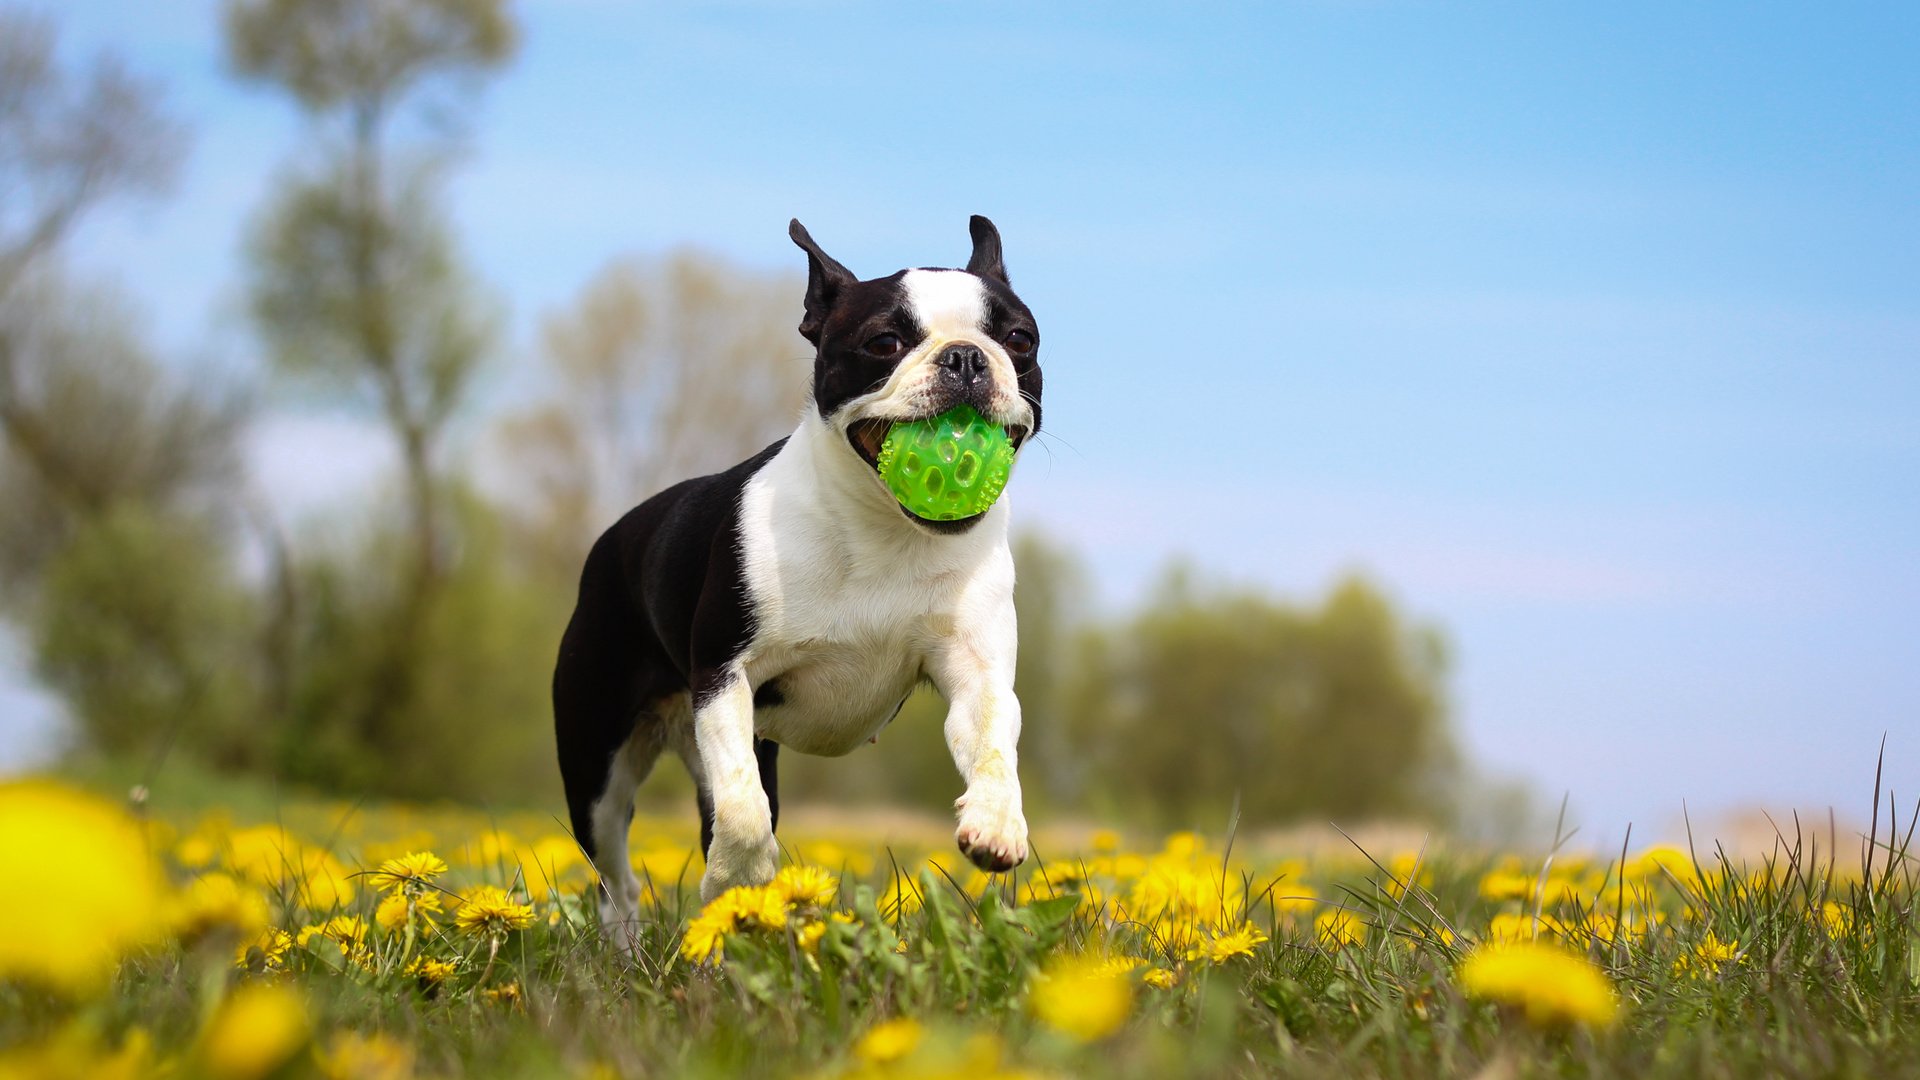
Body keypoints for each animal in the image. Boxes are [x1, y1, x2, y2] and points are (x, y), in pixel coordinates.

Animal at [549, 214, 1044, 930]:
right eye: (884, 342)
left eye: (1019, 339)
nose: (966, 356)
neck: (884, 530)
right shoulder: (725, 677)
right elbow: (745, 811)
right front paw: (741, 878)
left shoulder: (976, 675)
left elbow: (991, 744)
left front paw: (998, 821)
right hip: (598, 761)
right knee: (619, 876)